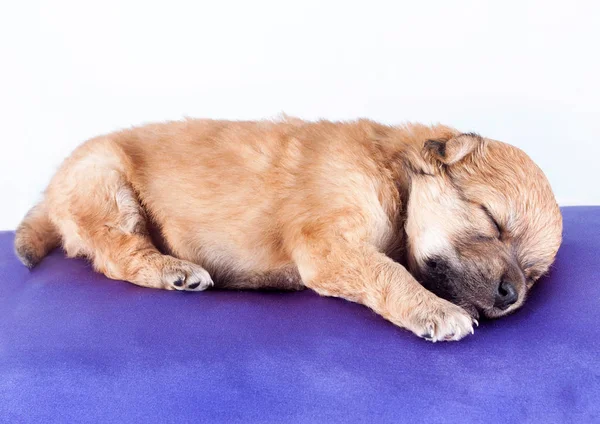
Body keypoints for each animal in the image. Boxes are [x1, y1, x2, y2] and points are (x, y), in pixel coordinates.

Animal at [14, 118, 564, 342]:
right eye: (492, 221)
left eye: (533, 274)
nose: (513, 294)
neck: (393, 175)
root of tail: (52, 189)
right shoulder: (328, 243)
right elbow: (389, 272)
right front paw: (437, 311)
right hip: (106, 184)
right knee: (117, 253)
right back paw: (175, 271)